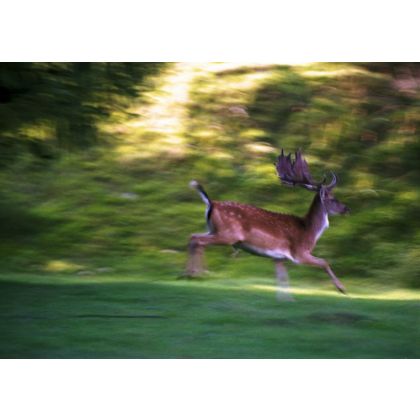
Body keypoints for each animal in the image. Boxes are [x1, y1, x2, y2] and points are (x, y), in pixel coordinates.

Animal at [185, 149, 350, 300]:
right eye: (333, 198)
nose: (347, 208)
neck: (309, 231)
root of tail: (211, 203)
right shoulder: (299, 253)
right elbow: (324, 262)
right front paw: (342, 289)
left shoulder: (279, 257)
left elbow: (282, 277)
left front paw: (286, 300)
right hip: (228, 234)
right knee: (199, 240)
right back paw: (196, 273)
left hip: (214, 230)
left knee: (193, 236)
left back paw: (190, 274)